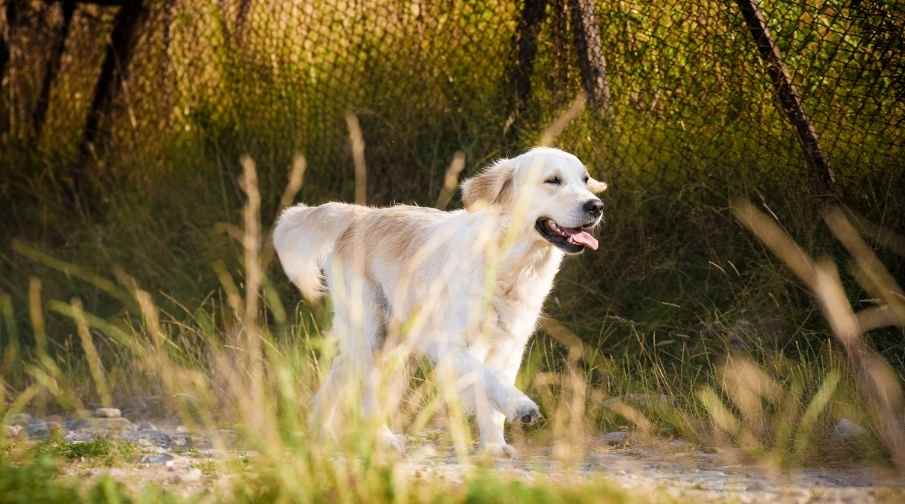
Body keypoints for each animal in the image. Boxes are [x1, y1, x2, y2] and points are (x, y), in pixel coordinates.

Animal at [270, 147, 608, 456]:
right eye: (552, 180)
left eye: (585, 179)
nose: (596, 206)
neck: (508, 263)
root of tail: (361, 214)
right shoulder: (448, 345)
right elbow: (487, 380)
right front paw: (521, 407)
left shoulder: (510, 346)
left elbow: (492, 398)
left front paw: (494, 446)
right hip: (373, 335)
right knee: (364, 387)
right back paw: (381, 438)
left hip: (389, 340)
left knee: (340, 372)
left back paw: (321, 430)